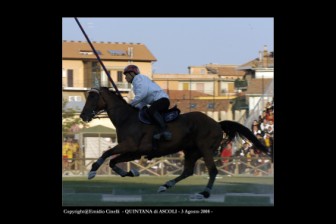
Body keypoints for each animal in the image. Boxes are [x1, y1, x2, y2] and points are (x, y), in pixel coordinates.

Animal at [79, 86, 270, 199]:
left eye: (93, 98)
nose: (83, 115)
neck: (127, 118)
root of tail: (217, 123)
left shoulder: (130, 146)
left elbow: (107, 153)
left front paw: (92, 171)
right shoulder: (134, 152)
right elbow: (113, 161)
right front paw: (131, 172)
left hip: (205, 149)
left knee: (213, 170)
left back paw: (204, 193)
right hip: (190, 151)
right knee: (187, 171)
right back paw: (166, 185)